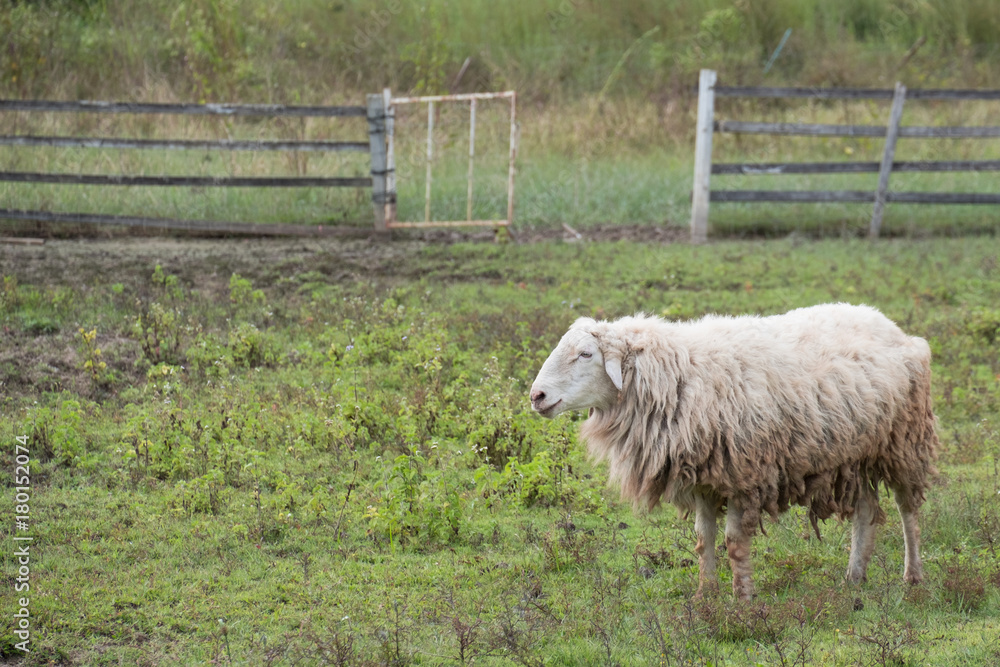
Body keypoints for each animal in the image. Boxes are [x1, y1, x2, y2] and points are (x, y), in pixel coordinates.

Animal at [529, 303, 938, 600]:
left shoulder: (744, 473)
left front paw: (741, 599)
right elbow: (702, 538)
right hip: (856, 454)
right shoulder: (704, 478)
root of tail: (889, 323)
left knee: (907, 510)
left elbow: (733, 542)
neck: (678, 376)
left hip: (904, 441)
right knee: (866, 511)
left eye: (585, 354)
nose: (537, 396)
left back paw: (913, 576)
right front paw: (705, 595)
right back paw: (854, 577)